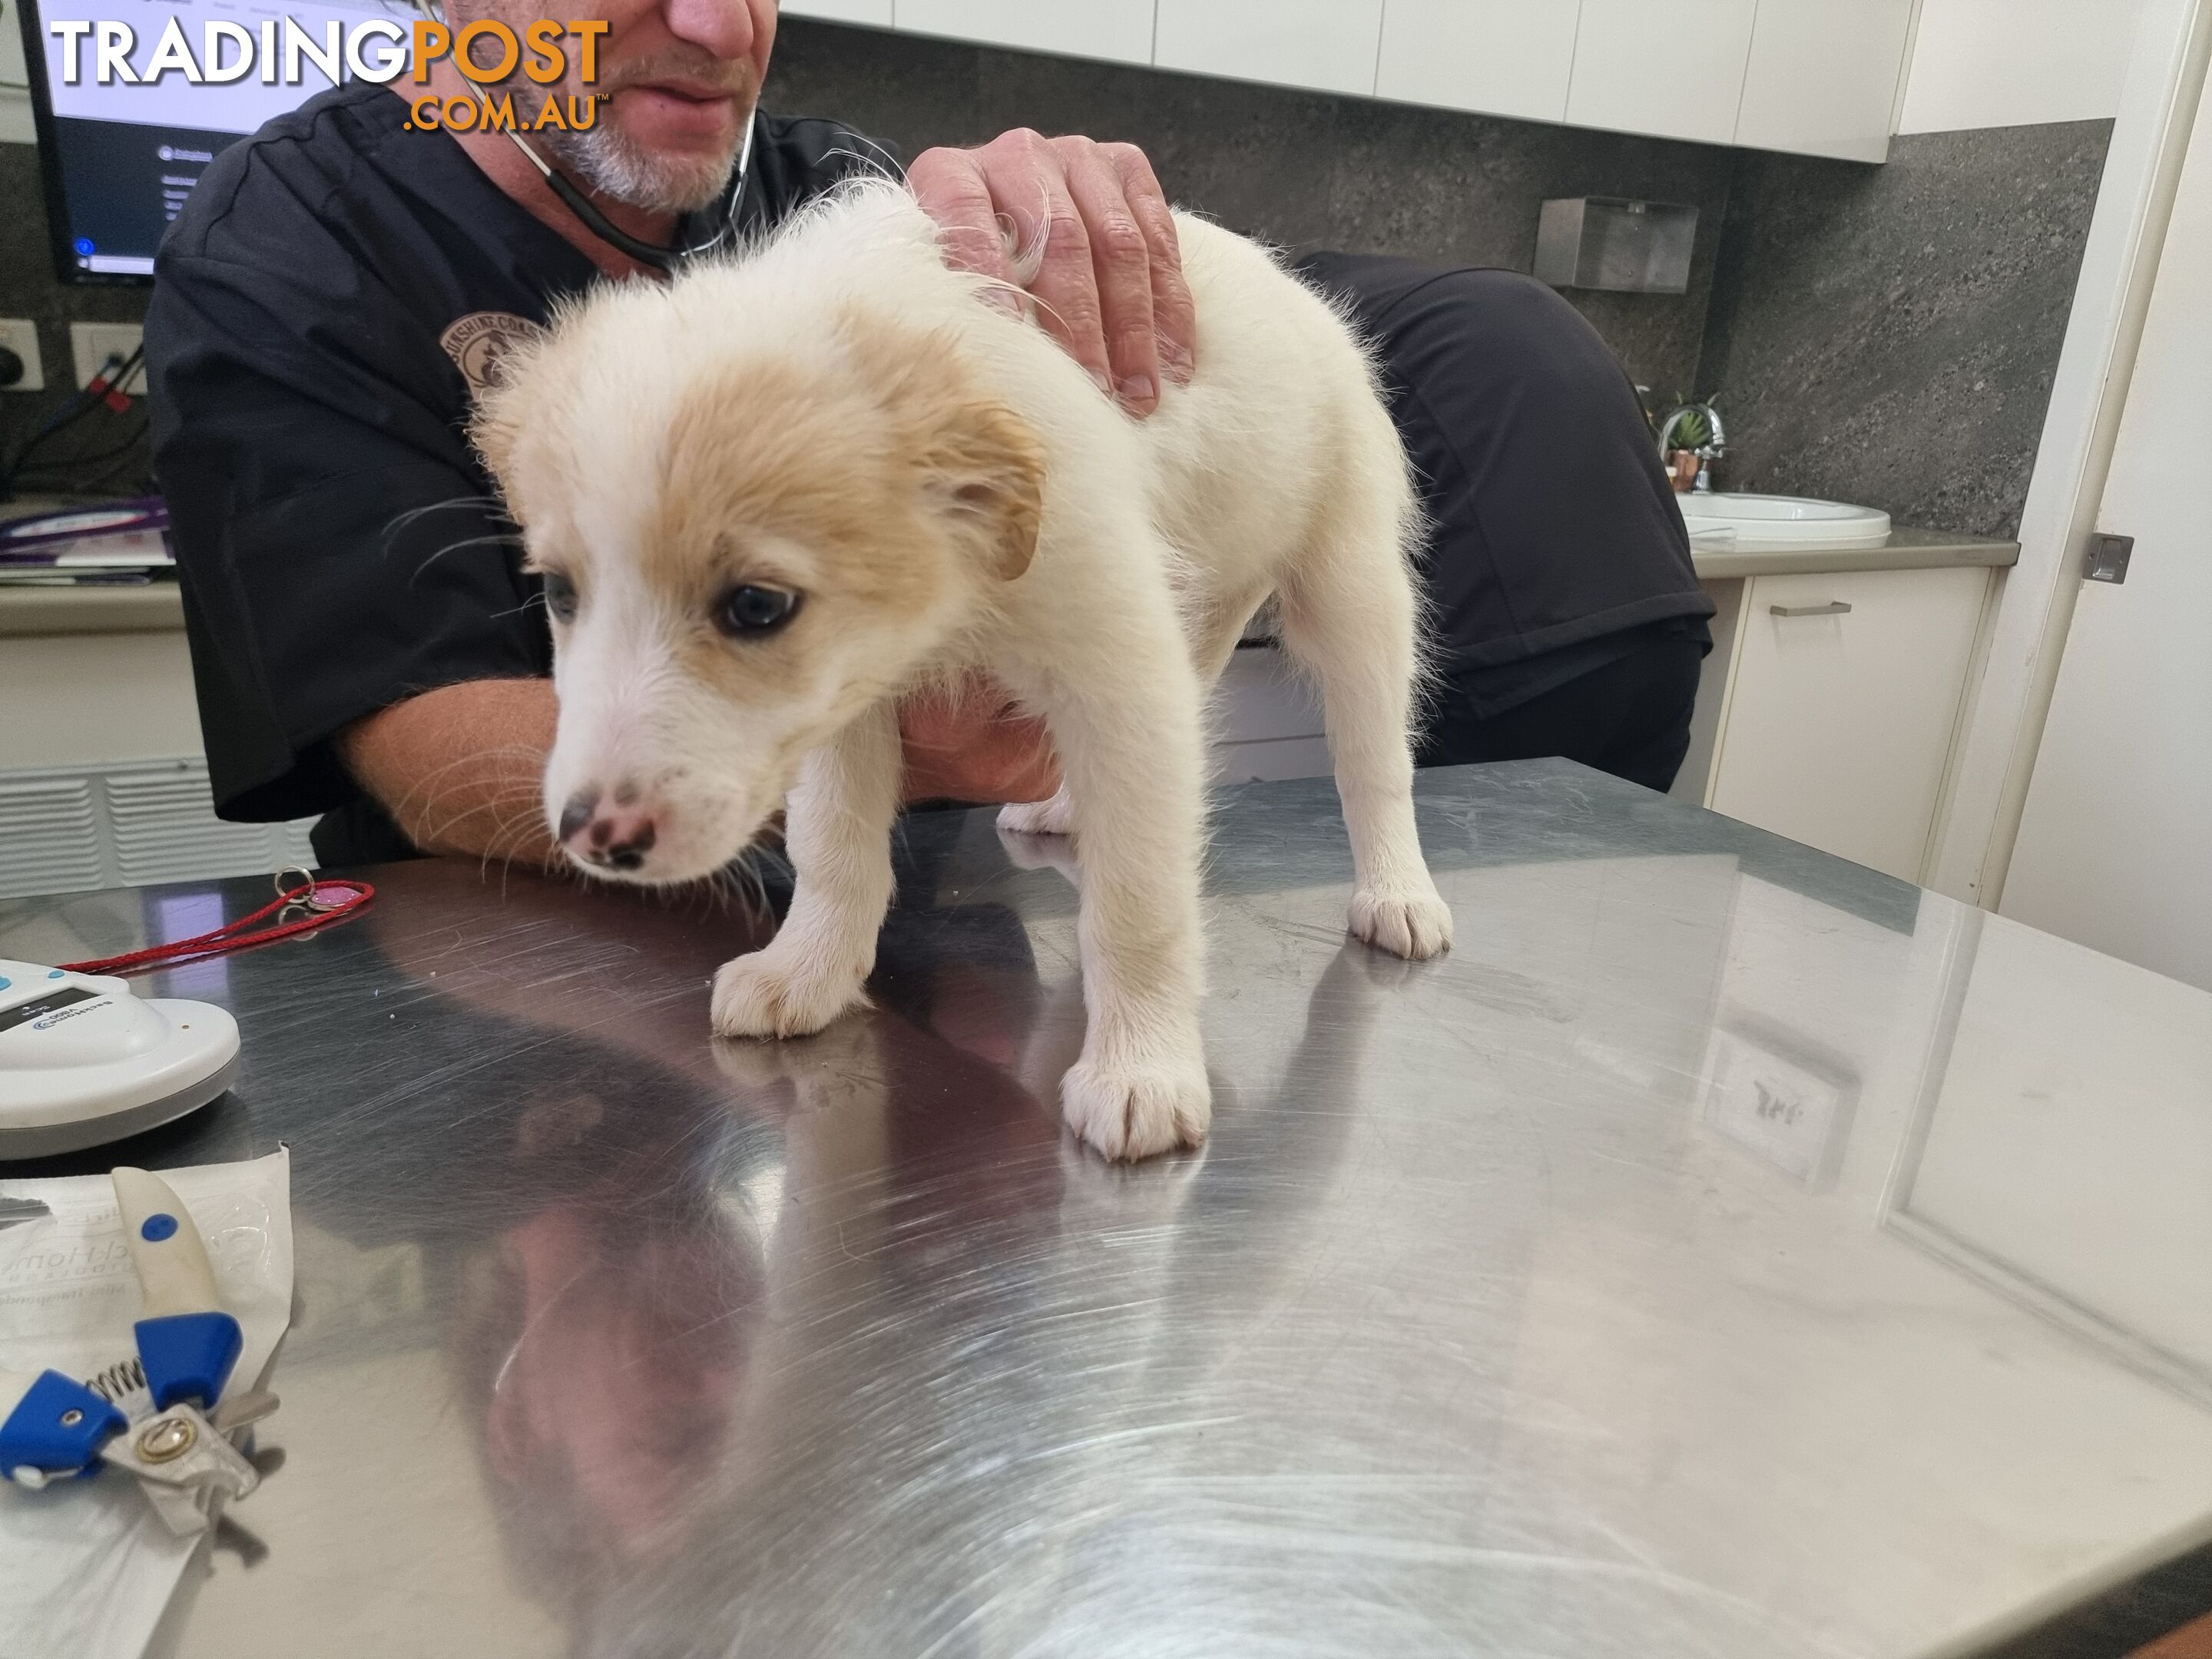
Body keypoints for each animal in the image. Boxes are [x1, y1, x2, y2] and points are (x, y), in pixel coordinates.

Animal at [471, 181, 1451, 1159]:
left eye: (756, 605)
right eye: (559, 591)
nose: (594, 836)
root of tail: (1290, 280)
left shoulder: (1122, 673)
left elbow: (1140, 903)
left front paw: (1142, 1070)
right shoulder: (847, 700)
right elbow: (833, 844)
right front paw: (808, 971)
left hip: (1352, 592)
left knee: (1374, 765)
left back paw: (1398, 892)